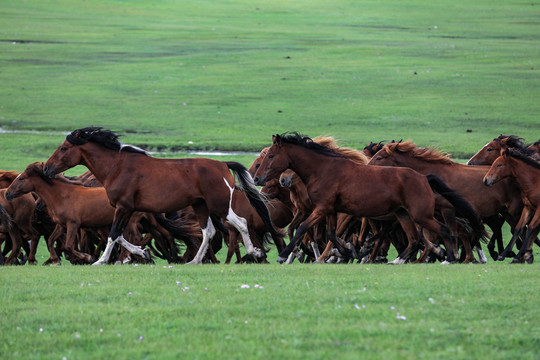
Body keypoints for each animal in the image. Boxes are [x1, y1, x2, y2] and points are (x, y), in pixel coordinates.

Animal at [42, 126, 276, 264]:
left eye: (63, 148)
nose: (46, 169)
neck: (117, 167)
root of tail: (222, 164)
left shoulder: (123, 207)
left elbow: (113, 234)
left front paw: (100, 260)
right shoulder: (128, 210)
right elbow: (119, 235)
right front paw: (142, 253)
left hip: (219, 205)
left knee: (241, 223)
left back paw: (255, 252)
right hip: (201, 206)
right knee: (207, 232)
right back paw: (194, 261)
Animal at [251, 132, 470, 264]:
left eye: (271, 156)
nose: (257, 178)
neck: (323, 169)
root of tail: (424, 177)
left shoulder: (321, 209)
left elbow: (303, 228)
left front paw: (283, 255)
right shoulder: (330, 210)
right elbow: (332, 234)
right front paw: (349, 251)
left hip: (420, 215)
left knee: (444, 231)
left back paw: (449, 257)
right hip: (403, 214)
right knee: (415, 239)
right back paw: (397, 260)